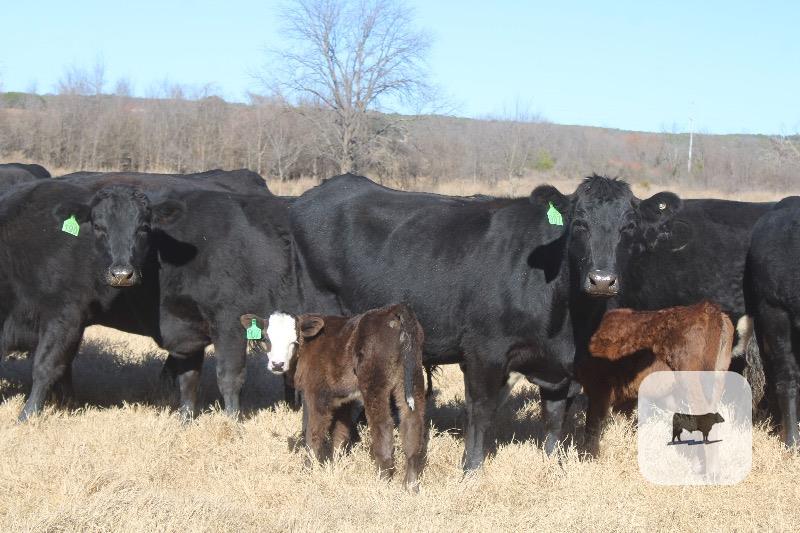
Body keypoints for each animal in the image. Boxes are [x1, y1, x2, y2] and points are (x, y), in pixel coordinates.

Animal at [240, 304, 426, 490]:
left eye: (294, 340)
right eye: (266, 338)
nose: (277, 365)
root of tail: (393, 309)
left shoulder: (316, 395)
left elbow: (312, 432)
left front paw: (308, 471)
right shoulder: (344, 398)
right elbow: (340, 432)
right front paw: (335, 465)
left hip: (374, 384)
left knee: (383, 425)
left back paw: (382, 481)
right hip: (413, 378)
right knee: (412, 422)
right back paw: (411, 485)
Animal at [289, 173, 682, 469]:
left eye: (628, 227)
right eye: (579, 224)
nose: (602, 280)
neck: (567, 323)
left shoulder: (564, 365)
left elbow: (556, 417)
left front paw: (552, 464)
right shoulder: (483, 351)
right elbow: (481, 412)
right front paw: (471, 470)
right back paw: (314, 455)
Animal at [581, 301, 733, 454]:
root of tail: (706, 307)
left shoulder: (598, 388)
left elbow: (592, 426)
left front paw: (590, 455)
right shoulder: (626, 398)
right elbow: (623, 423)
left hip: (692, 382)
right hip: (717, 378)